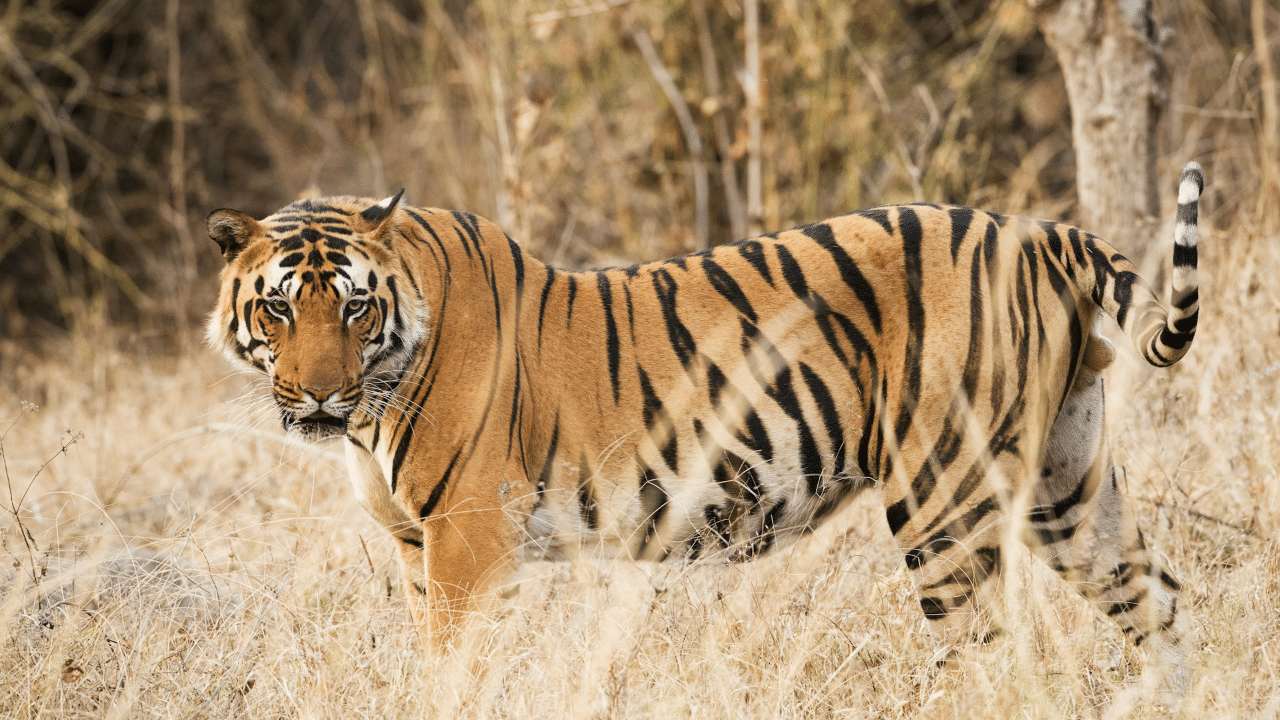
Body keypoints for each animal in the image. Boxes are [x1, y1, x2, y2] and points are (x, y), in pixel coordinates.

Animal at [206, 162, 1203, 684]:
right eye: (280, 310)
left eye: (354, 308)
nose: (320, 397)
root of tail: (1039, 231)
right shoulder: (418, 545)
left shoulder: (468, 539)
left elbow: (453, 672)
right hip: (1068, 485)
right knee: (1159, 602)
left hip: (943, 500)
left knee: (995, 660)